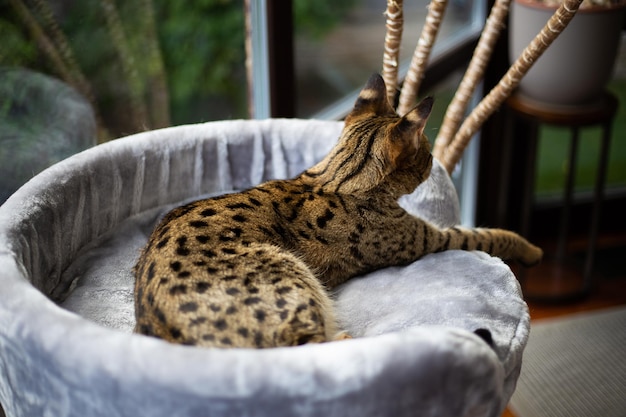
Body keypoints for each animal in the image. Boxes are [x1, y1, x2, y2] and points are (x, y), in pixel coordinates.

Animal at [133, 72, 540, 348]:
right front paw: (531, 249)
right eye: (426, 152)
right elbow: (488, 235)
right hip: (289, 272)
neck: (338, 174)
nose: (434, 162)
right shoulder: (430, 239)